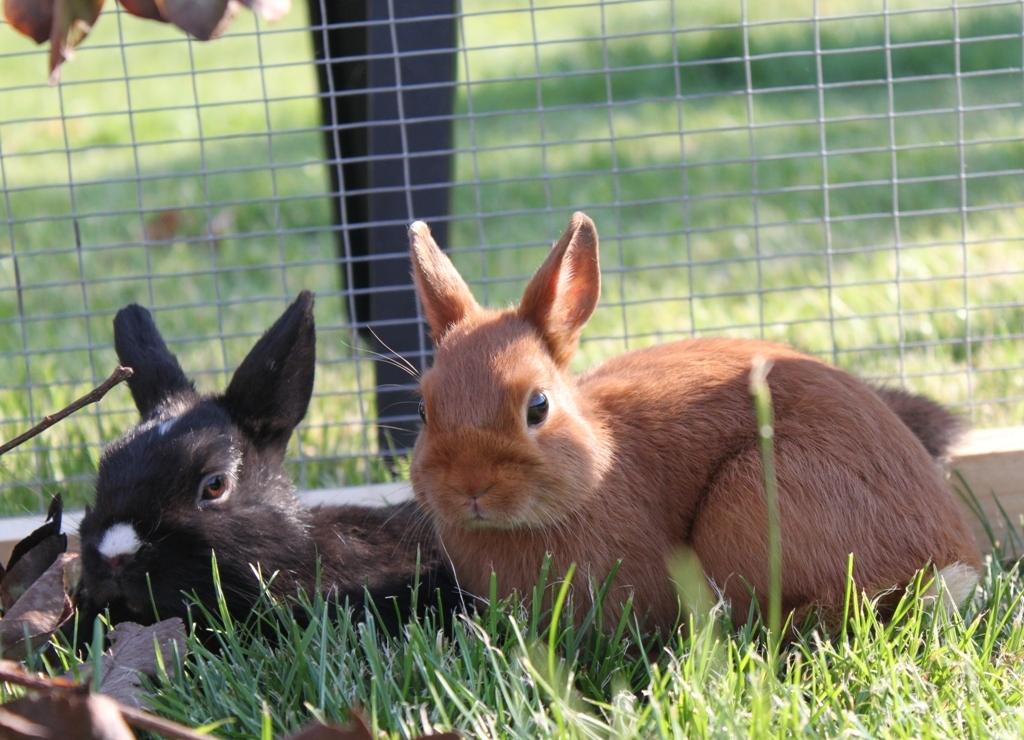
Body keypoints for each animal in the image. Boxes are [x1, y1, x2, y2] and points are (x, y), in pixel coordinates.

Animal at [407, 210, 983, 626]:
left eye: (538, 406)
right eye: (423, 408)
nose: (471, 487)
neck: (598, 467)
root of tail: (947, 558)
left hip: (754, 494)